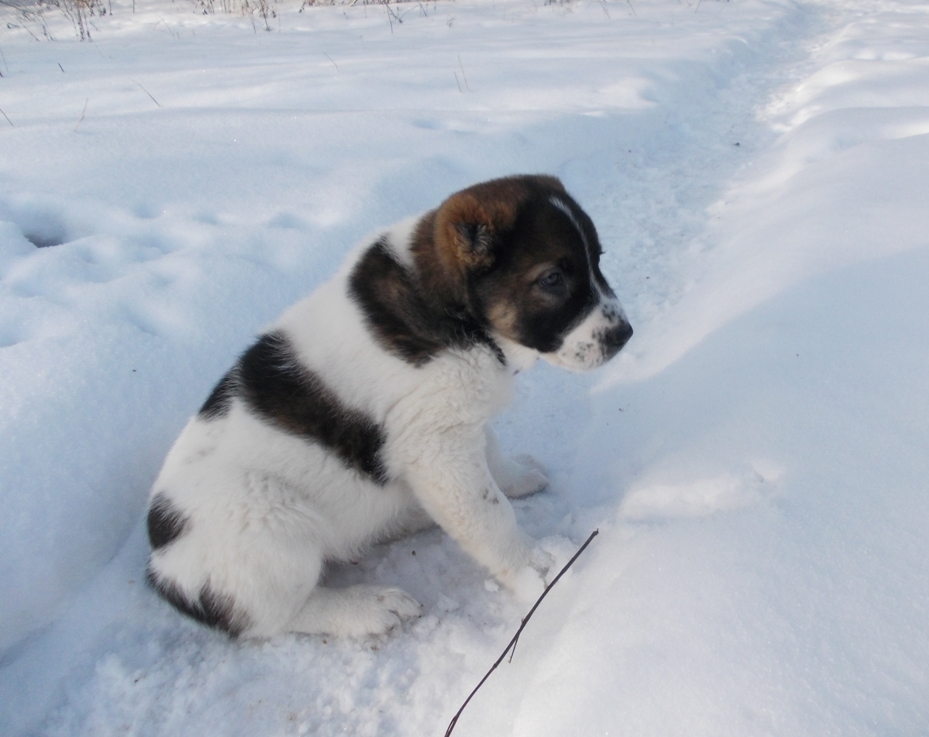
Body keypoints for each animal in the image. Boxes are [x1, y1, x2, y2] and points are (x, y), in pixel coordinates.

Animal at [145, 175, 632, 639]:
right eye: (552, 279)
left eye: (598, 261)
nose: (624, 334)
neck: (451, 310)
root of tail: (159, 568)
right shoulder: (438, 444)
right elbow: (489, 513)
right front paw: (539, 570)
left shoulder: (453, 419)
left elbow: (490, 455)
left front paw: (515, 477)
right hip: (273, 524)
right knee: (277, 617)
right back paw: (368, 607)